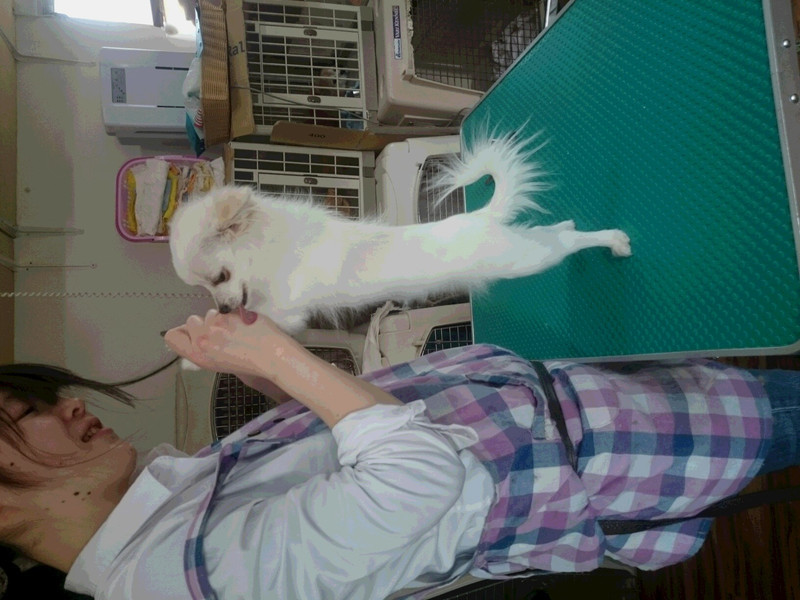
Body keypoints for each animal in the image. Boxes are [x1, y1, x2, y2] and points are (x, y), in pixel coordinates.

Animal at [169, 133, 631, 334]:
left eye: (221, 278)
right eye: (208, 288)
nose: (224, 308)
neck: (270, 246)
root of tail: (480, 218)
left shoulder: (287, 309)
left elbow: (265, 315)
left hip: (521, 259)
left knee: (565, 243)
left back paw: (615, 241)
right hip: (523, 247)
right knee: (555, 232)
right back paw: (574, 226)